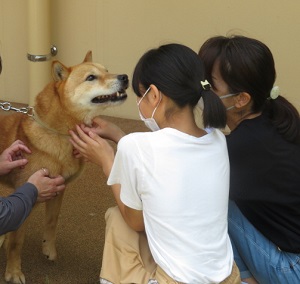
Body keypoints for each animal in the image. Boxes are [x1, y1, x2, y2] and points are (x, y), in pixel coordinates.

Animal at [0, 51, 127, 284]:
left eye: (107, 70)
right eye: (91, 77)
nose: (124, 77)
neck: (59, 134)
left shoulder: (59, 188)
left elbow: (52, 222)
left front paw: (48, 249)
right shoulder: (27, 194)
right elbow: (16, 242)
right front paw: (13, 272)